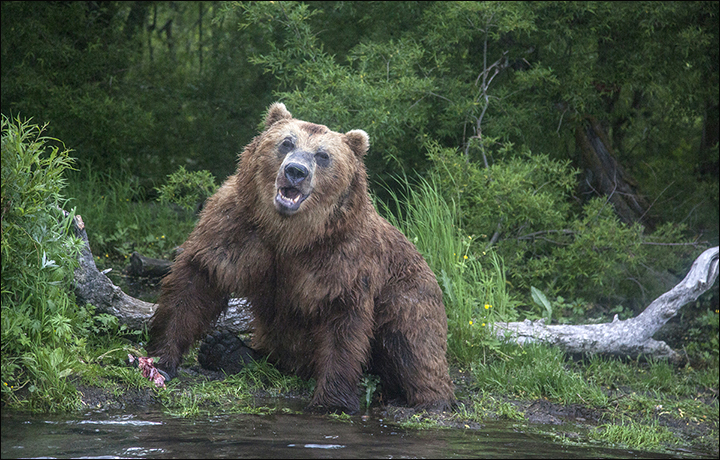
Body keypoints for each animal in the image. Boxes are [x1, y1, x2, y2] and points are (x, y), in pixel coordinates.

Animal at [146, 103, 455, 414]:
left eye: (323, 155)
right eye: (286, 142)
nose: (296, 171)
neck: (289, 233)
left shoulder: (343, 255)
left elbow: (342, 321)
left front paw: (332, 401)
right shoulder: (236, 226)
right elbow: (197, 281)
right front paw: (163, 358)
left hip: (408, 294)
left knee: (412, 343)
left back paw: (429, 399)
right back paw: (227, 349)